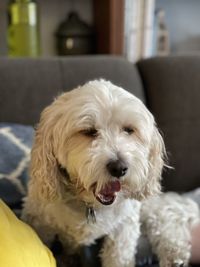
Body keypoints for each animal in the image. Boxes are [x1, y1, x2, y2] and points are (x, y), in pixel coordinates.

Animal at [22, 80, 166, 267]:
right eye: (89, 131)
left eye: (129, 130)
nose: (119, 167)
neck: (90, 205)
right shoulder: (40, 223)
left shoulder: (124, 229)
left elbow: (118, 257)